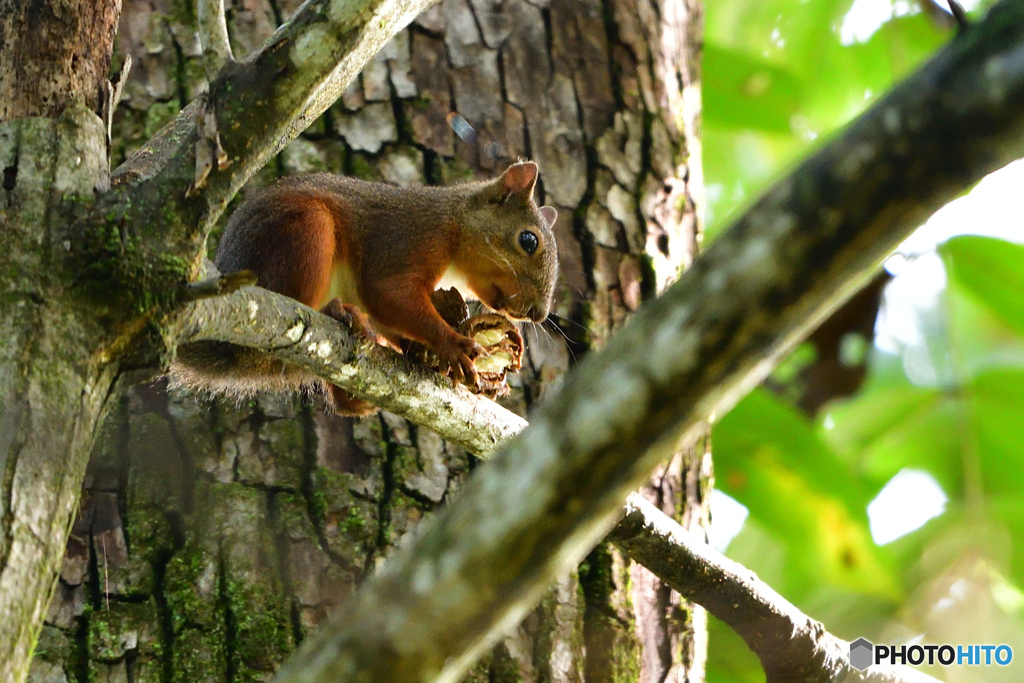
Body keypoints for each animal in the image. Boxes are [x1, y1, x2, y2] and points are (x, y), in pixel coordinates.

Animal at [174, 161, 561, 417]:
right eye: (528, 240)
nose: (538, 313)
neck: (454, 222)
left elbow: (390, 319)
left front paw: (428, 356)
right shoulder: (410, 238)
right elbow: (386, 294)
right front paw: (452, 344)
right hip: (303, 231)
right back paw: (335, 311)